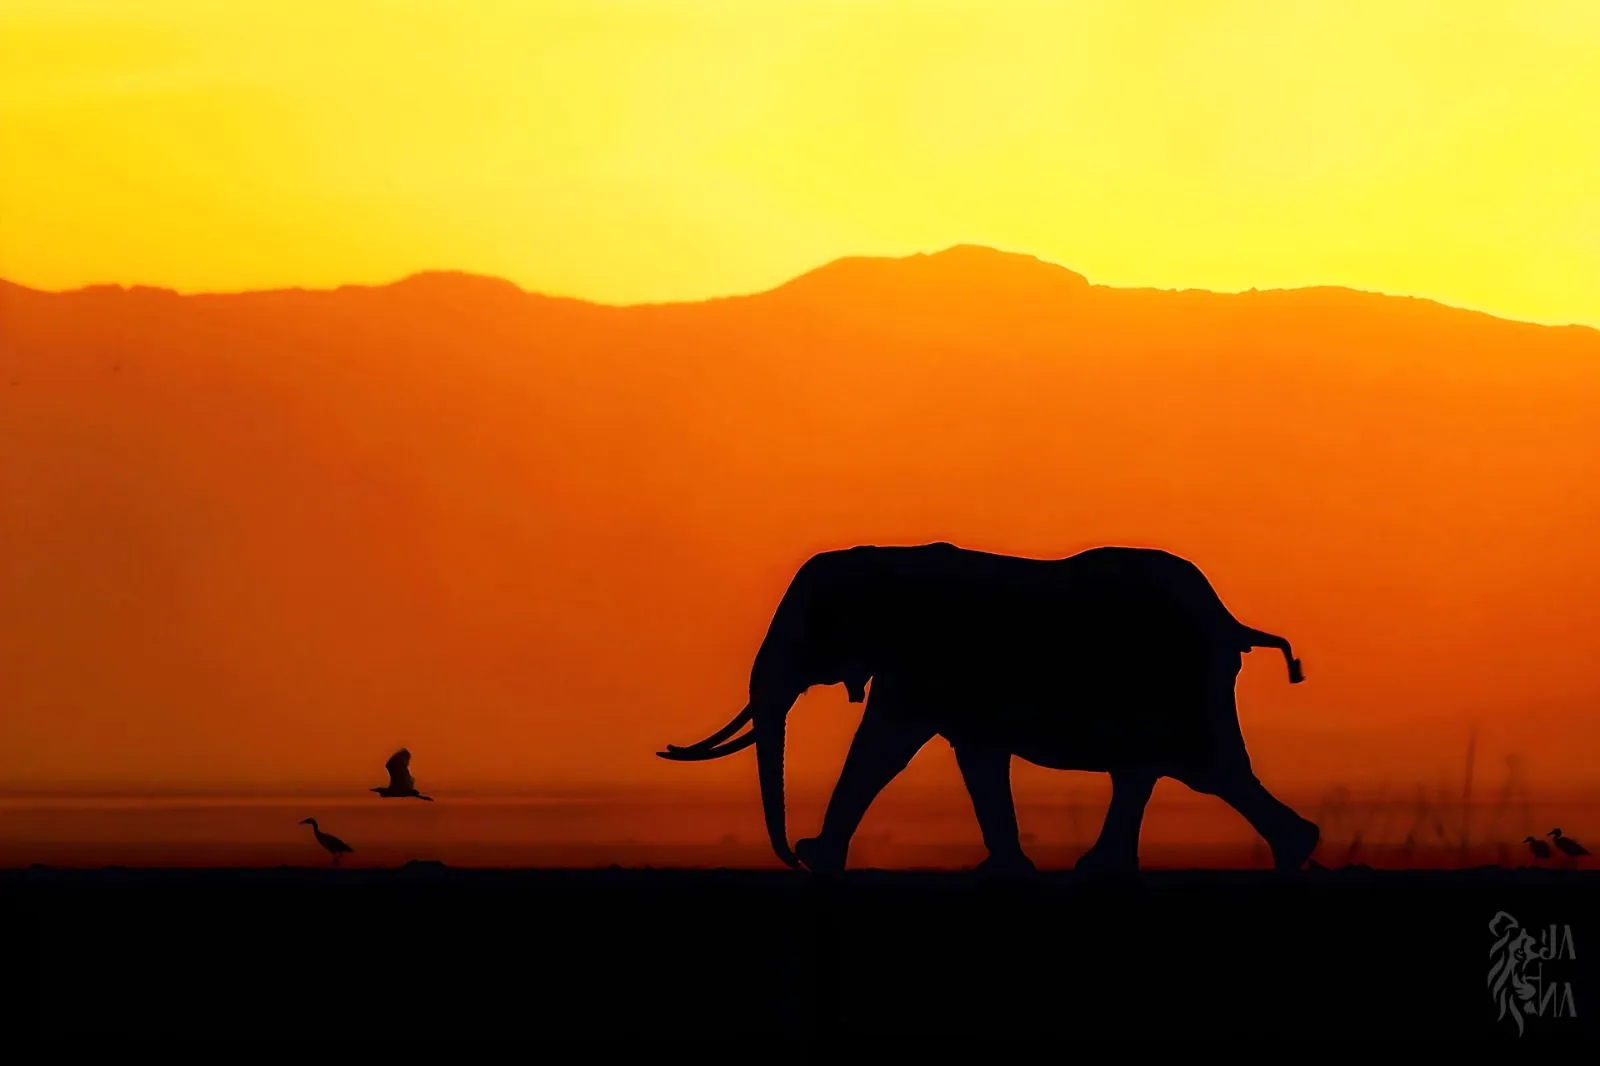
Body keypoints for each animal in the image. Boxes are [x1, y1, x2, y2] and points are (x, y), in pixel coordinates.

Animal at [658, 542, 1321, 876]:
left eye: (811, 626)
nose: (791, 855)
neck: (880, 557)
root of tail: (1230, 620)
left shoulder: (925, 660)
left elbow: (883, 747)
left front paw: (821, 859)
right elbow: (974, 758)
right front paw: (1002, 871)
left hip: (1181, 682)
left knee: (1203, 771)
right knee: (1166, 772)